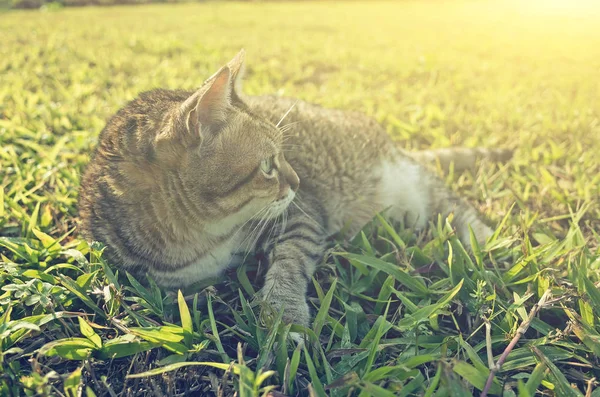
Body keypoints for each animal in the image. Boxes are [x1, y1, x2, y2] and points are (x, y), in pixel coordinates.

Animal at [78, 51, 510, 326]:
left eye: (285, 154)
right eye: (269, 165)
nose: (298, 181)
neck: (199, 241)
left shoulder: (300, 216)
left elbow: (289, 264)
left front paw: (284, 315)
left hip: (415, 191)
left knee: (457, 208)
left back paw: (489, 244)